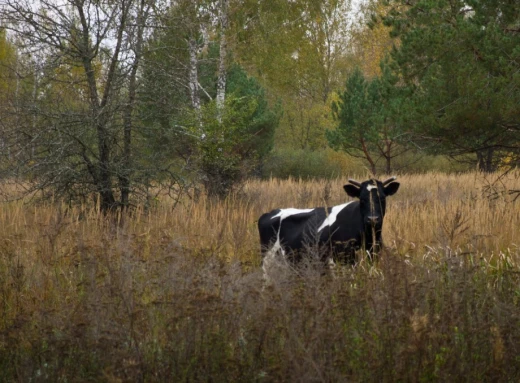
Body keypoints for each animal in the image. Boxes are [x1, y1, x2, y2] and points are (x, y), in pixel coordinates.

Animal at [258, 177, 400, 270]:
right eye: (362, 199)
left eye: (382, 198)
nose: (372, 219)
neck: (368, 236)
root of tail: (269, 213)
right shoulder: (343, 258)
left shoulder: (373, 253)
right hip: (268, 259)